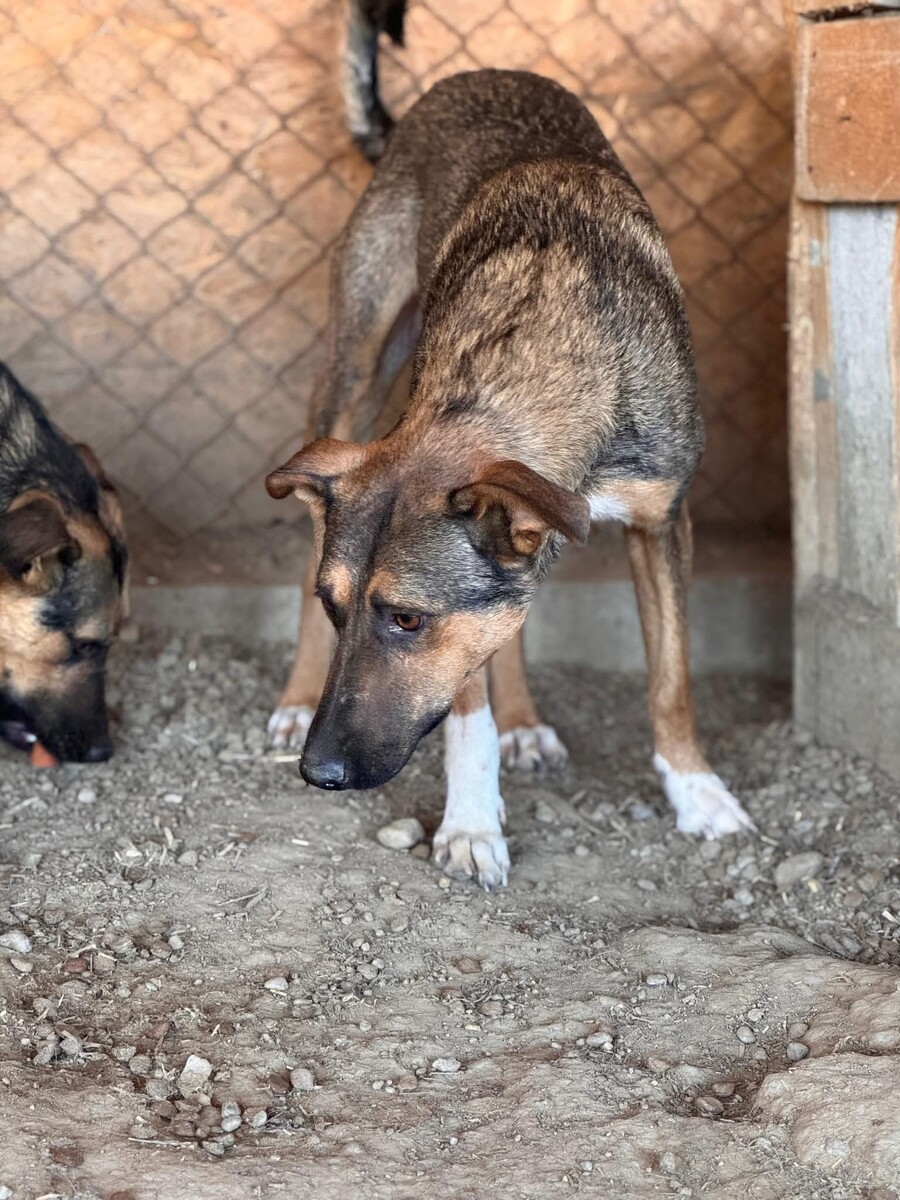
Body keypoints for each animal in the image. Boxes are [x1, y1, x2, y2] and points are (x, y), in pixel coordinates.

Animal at [264, 0, 754, 889]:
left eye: (405, 619)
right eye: (337, 605)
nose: (319, 775)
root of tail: (454, 86)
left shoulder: (663, 520)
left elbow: (671, 678)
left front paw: (698, 794)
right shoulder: (468, 602)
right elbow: (467, 706)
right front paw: (469, 824)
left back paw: (525, 721)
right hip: (351, 374)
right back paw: (294, 699)